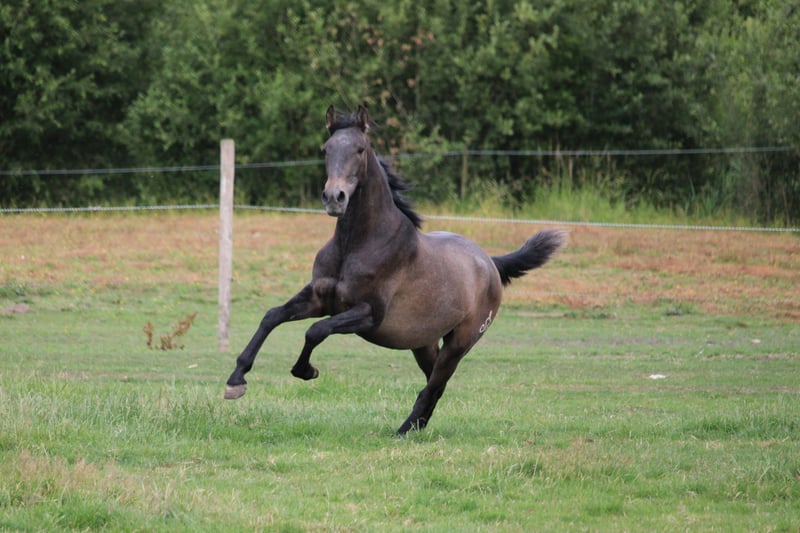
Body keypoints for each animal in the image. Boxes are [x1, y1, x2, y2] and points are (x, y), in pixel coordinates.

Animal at [224, 105, 566, 435]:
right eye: (326, 148)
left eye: (360, 149)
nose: (334, 198)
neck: (356, 245)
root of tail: (490, 263)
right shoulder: (319, 298)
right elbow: (272, 316)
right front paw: (236, 380)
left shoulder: (368, 313)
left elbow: (316, 330)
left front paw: (306, 370)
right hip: (423, 343)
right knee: (435, 383)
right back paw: (417, 427)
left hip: (459, 343)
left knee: (435, 384)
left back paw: (403, 430)